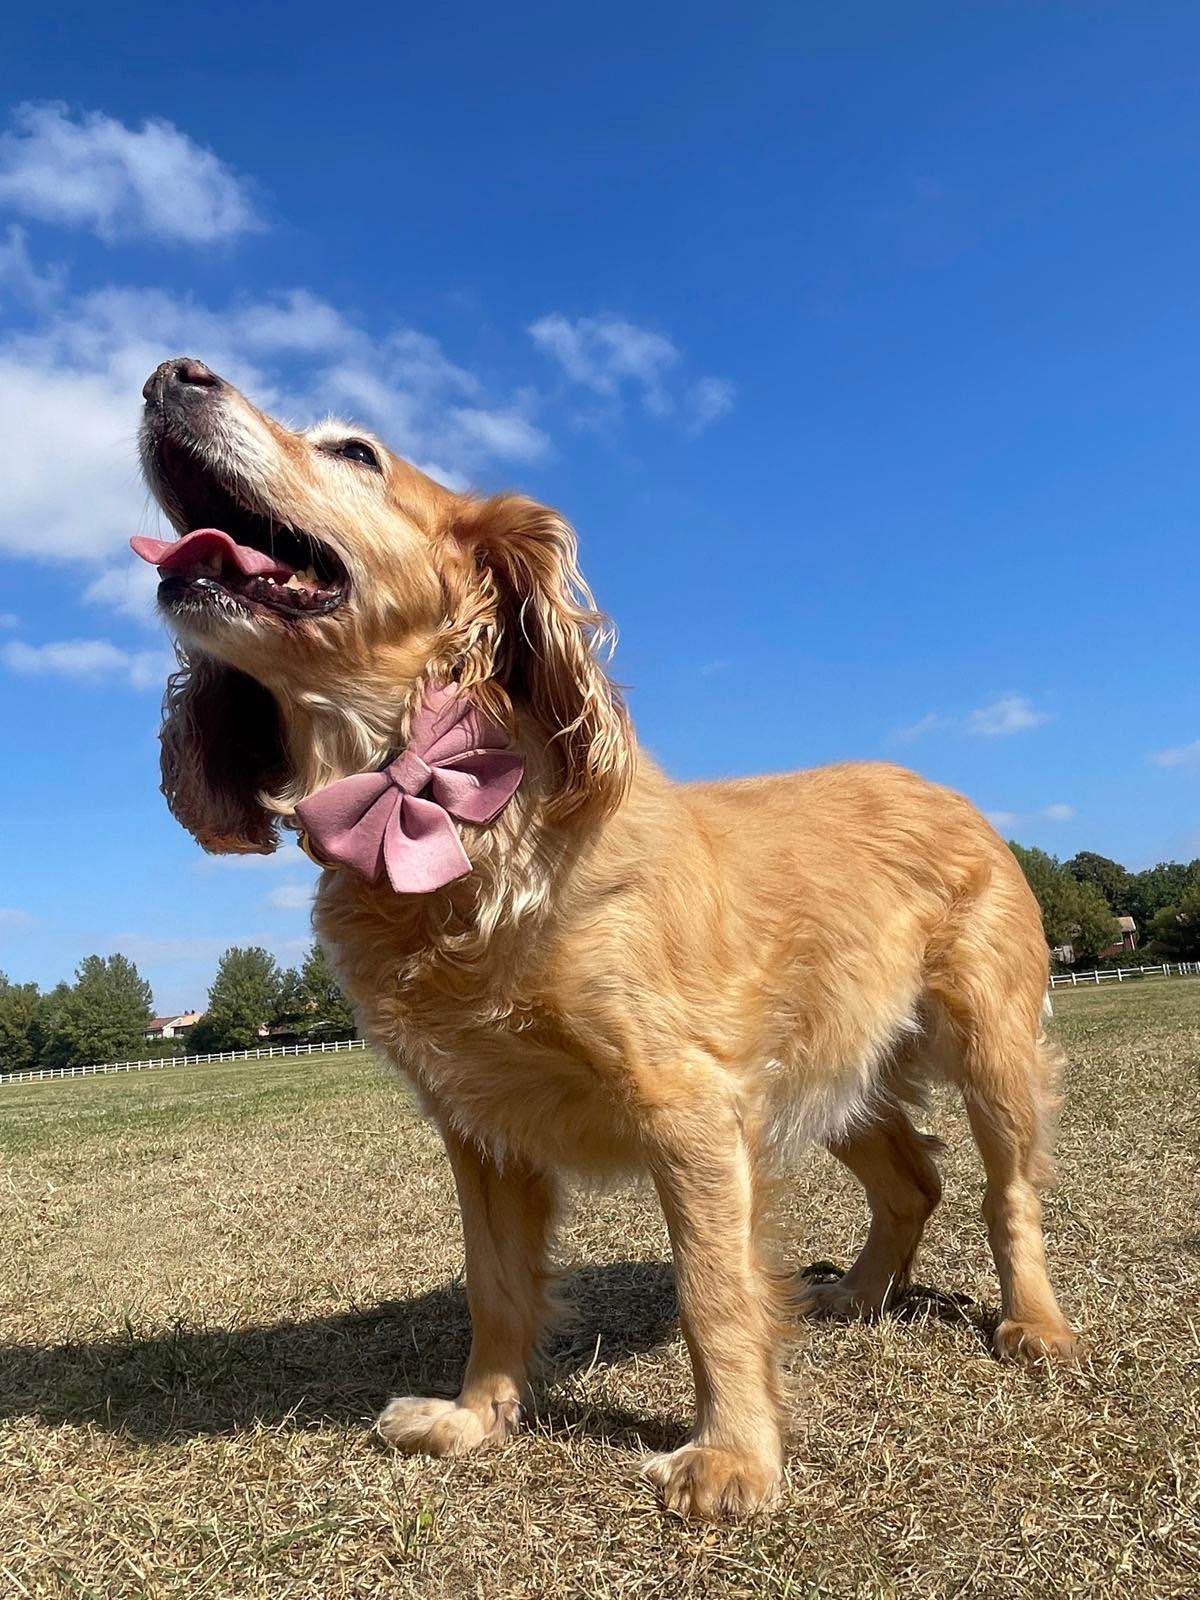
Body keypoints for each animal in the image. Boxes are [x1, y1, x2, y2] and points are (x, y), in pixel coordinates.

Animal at [133, 356, 1081, 1516]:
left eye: (355, 451)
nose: (168, 374)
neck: (456, 825)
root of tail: (948, 789)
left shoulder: (689, 1106)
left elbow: (713, 1294)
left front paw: (734, 1457)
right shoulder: (482, 1124)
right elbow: (496, 1287)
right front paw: (476, 1418)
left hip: (984, 1045)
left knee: (1005, 1193)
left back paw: (1033, 1323)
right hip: (821, 1070)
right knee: (914, 1182)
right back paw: (856, 1294)